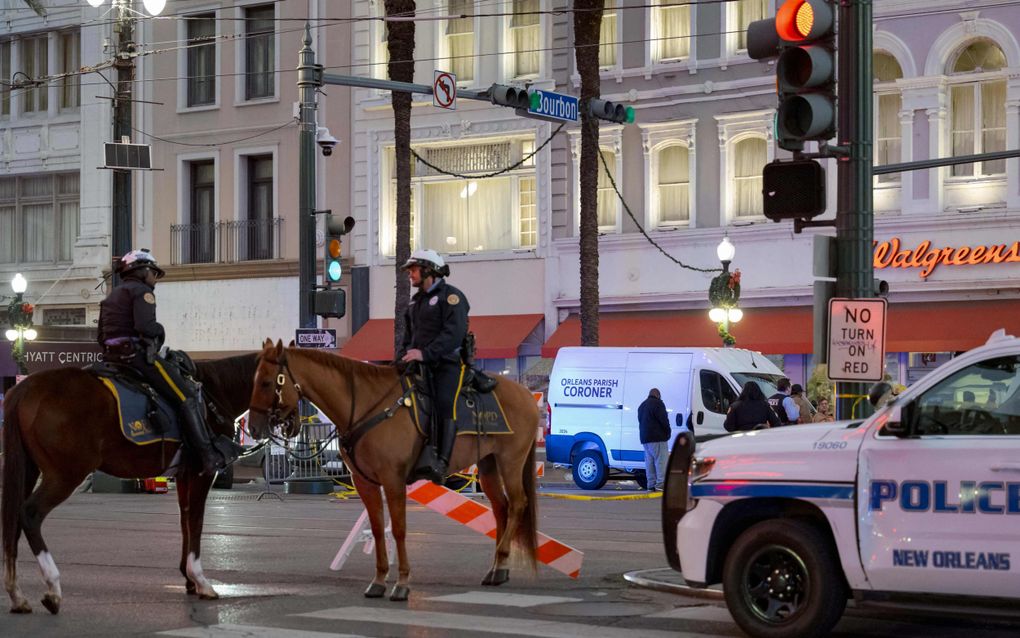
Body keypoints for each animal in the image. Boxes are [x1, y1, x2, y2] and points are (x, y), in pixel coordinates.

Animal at [1, 353, 273, 612]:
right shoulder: (201, 472)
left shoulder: (184, 474)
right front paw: (201, 581)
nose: (259, 429)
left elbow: (185, 521)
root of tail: (25, 388)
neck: (214, 392)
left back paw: (17, 595)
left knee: (13, 519)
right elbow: (196, 521)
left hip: (29, 469)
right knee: (30, 514)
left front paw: (189, 579)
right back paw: (53, 588)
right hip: (65, 474)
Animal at [244, 340, 542, 600]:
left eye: (267, 382)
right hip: (488, 464)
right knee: (501, 507)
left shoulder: (393, 480)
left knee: (517, 504)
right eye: (254, 380)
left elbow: (398, 529)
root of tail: (526, 394)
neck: (366, 406)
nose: (254, 428)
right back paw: (498, 568)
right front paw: (378, 580)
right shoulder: (364, 482)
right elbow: (377, 529)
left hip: (511, 461)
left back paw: (500, 561)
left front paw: (402, 582)